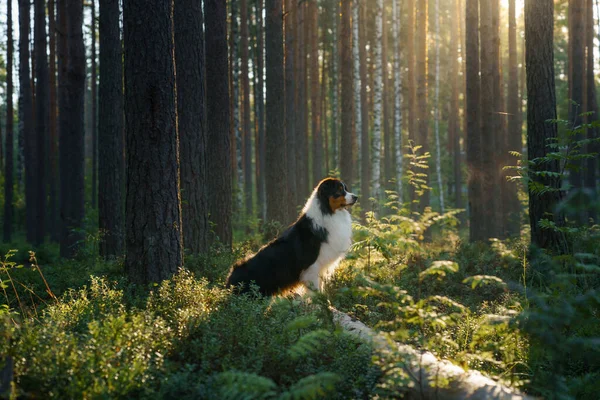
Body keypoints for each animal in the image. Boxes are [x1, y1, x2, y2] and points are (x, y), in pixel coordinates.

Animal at [225, 177, 356, 296]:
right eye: (339, 190)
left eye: (345, 188)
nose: (356, 197)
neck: (328, 212)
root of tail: (229, 279)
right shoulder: (312, 267)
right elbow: (315, 292)